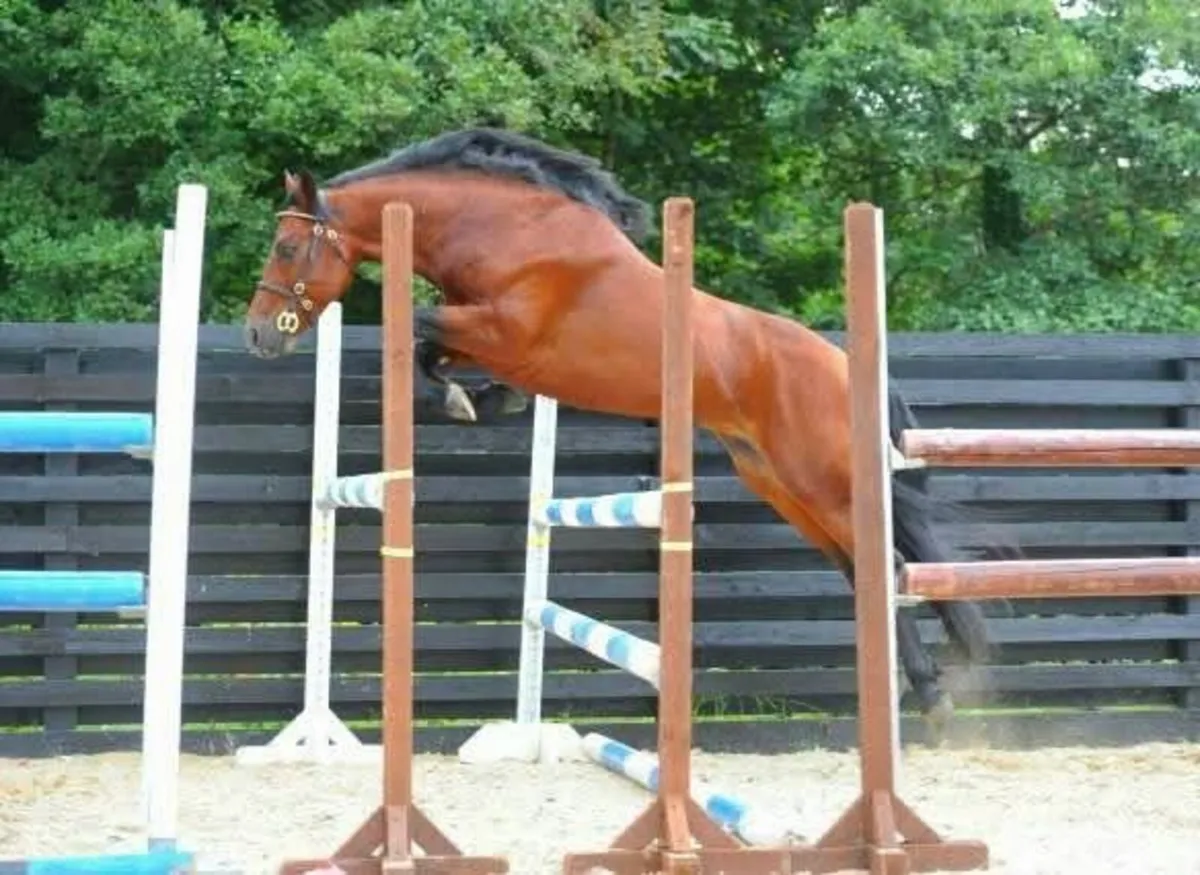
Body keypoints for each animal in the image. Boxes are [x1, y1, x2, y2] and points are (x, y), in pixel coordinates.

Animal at [242, 126, 999, 725]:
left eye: (286, 247)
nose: (258, 335)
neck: (501, 228)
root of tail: (848, 366)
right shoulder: (483, 332)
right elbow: (432, 345)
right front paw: (488, 400)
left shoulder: (505, 330)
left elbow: (421, 328)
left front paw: (472, 400)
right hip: (782, 485)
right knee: (863, 568)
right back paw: (926, 695)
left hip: (823, 479)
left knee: (889, 566)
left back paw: (930, 698)